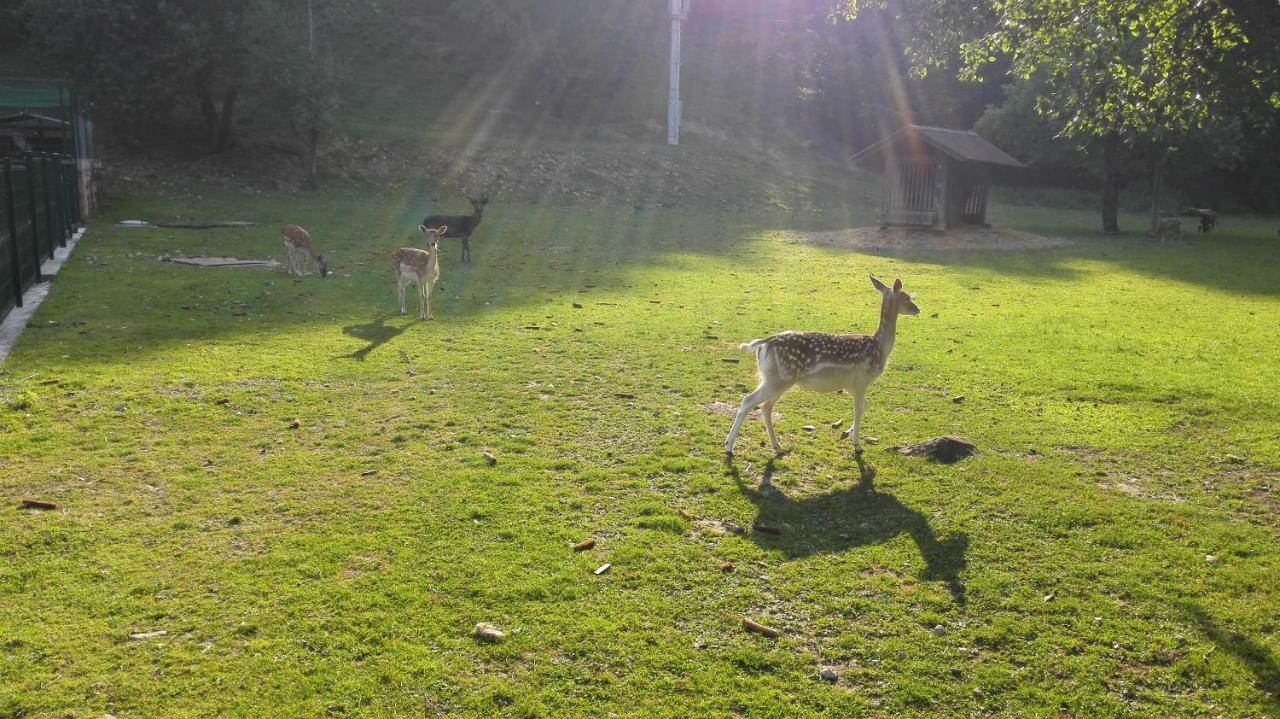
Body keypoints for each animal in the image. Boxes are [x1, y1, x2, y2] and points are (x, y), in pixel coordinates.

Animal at [721, 273, 921, 452]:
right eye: (907, 297)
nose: (917, 309)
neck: (880, 347)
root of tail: (763, 344)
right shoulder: (862, 380)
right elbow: (858, 409)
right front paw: (857, 445)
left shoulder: (850, 385)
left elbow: (865, 405)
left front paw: (846, 433)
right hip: (777, 378)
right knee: (748, 400)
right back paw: (729, 446)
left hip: (775, 379)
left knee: (765, 407)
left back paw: (776, 447)